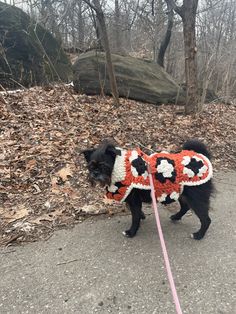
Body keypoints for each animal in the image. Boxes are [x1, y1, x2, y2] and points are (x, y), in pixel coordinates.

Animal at [83, 139, 214, 239]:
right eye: (91, 166)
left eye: (104, 165)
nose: (95, 173)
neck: (120, 165)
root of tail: (202, 157)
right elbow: (135, 212)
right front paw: (142, 216)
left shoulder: (134, 200)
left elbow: (135, 217)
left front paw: (132, 232)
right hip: (181, 193)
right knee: (185, 207)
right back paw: (176, 217)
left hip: (196, 199)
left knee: (206, 219)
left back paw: (199, 235)